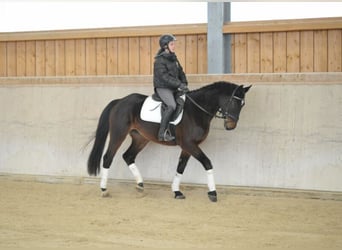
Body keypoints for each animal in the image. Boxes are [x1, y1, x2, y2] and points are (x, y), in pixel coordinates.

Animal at [87, 81, 250, 202]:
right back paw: (104, 190)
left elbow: (180, 167)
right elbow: (207, 163)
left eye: (242, 105)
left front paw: (177, 192)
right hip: (118, 134)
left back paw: (140, 186)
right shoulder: (189, 144)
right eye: (234, 102)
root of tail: (119, 101)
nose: (231, 126)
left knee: (128, 156)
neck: (196, 111)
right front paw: (213, 193)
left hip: (141, 138)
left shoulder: (188, 147)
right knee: (108, 157)